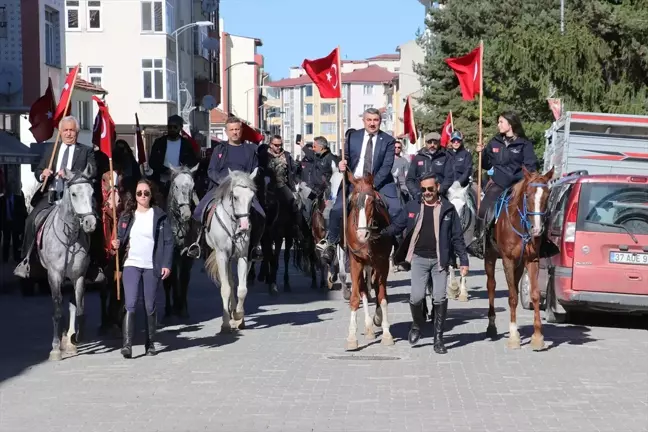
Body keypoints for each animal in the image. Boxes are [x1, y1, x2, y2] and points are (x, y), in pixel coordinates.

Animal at [25, 167, 97, 360]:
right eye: (73, 194)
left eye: (92, 192)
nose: (90, 223)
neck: (69, 238)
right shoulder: (54, 275)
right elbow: (57, 311)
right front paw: (56, 348)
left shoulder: (78, 276)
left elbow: (78, 308)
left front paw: (75, 339)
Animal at [204, 167, 256, 332]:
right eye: (235, 197)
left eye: (252, 197)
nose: (245, 226)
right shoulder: (222, 256)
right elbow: (225, 288)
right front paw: (226, 323)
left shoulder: (243, 256)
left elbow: (242, 289)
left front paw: (238, 315)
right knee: (229, 283)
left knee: (235, 283)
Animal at [344, 172, 394, 352]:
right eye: (352, 202)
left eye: (372, 202)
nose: (361, 235)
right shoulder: (355, 262)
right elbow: (355, 298)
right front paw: (352, 338)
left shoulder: (383, 262)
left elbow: (382, 297)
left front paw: (386, 333)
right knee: (364, 290)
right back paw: (368, 327)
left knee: (376, 287)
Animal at [484, 166, 556, 352]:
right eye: (528, 195)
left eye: (547, 196)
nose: (537, 230)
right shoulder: (507, 260)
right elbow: (512, 298)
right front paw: (514, 337)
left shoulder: (531, 260)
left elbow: (535, 295)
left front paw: (537, 337)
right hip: (490, 257)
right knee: (491, 286)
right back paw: (491, 326)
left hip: (518, 265)